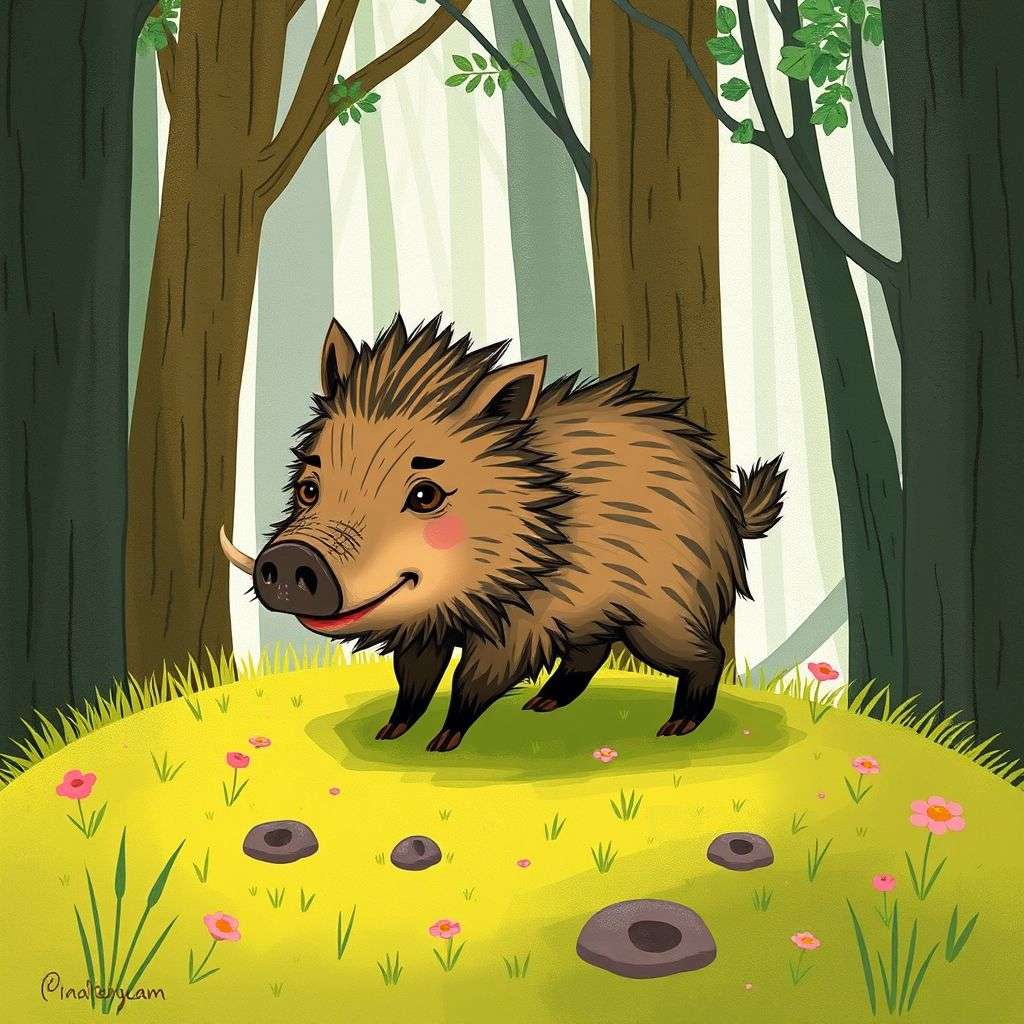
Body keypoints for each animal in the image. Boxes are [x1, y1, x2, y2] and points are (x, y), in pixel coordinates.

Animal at [221, 314, 785, 752]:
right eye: (309, 487)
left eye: (424, 494)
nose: (291, 561)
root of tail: (732, 506)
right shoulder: (425, 628)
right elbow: (413, 678)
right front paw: (391, 733)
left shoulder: (526, 619)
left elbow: (475, 678)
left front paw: (441, 744)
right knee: (591, 652)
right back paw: (543, 704)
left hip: (663, 609)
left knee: (704, 656)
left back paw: (676, 727)